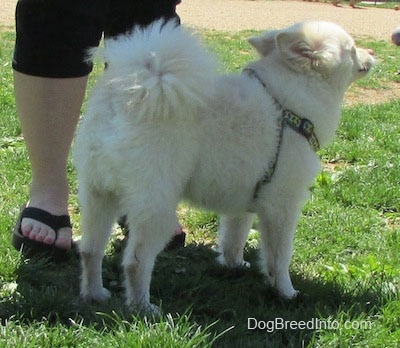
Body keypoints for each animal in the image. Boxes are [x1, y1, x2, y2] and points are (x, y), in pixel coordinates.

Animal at [72, 20, 376, 312]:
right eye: (351, 49)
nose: (372, 51)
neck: (290, 105)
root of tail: (129, 95)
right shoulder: (282, 204)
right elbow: (279, 256)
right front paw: (286, 292)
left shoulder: (245, 196)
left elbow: (234, 235)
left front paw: (234, 265)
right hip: (155, 206)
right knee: (135, 262)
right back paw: (143, 307)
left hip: (98, 194)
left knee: (90, 250)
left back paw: (94, 294)